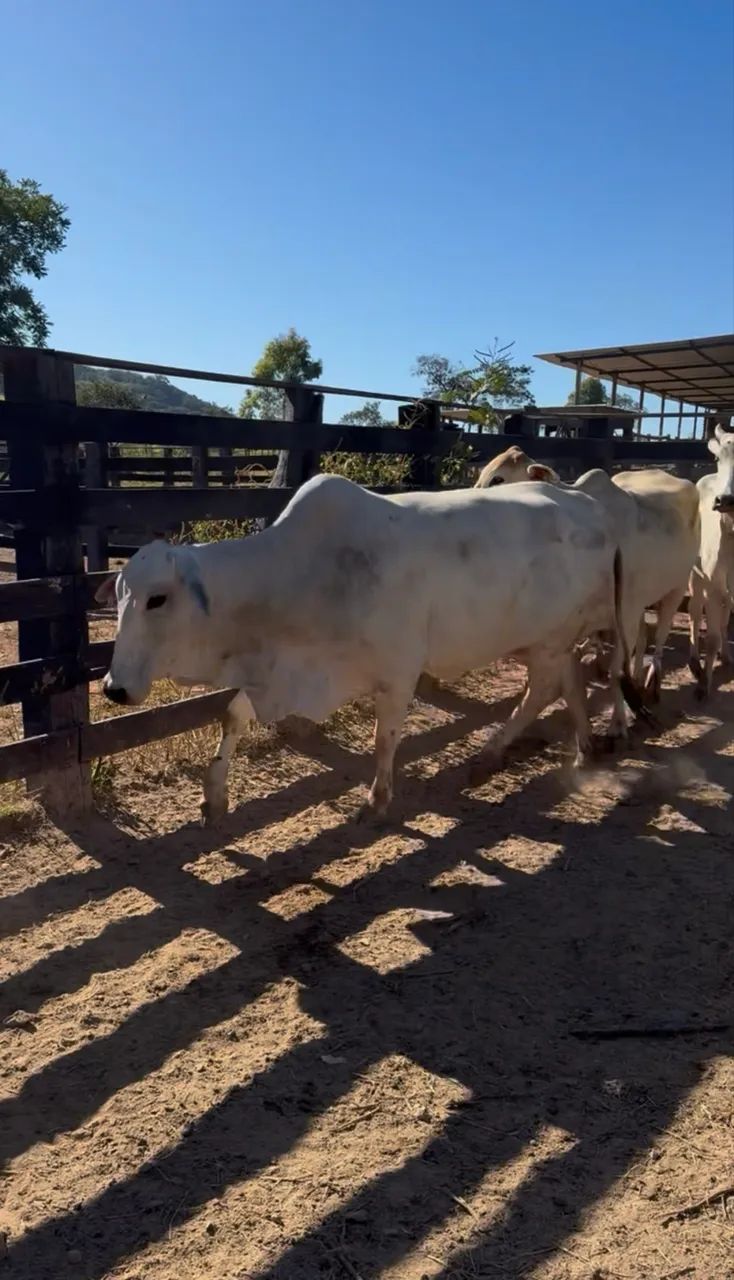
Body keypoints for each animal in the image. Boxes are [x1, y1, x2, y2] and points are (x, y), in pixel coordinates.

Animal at [97, 474, 642, 825]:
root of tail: (586, 502)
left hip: (554, 637)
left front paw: (377, 801)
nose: (113, 688)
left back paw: (494, 751)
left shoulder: (398, 672)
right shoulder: (285, 674)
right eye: (118, 596)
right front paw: (214, 798)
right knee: (570, 679)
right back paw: (583, 749)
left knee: (546, 688)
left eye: (157, 599)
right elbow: (232, 716)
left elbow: (384, 740)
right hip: (549, 639)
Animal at [476, 447, 700, 702]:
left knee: (661, 635)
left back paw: (653, 683)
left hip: (677, 587)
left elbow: (615, 667)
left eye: (498, 479)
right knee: (643, 638)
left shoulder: (626, 612)